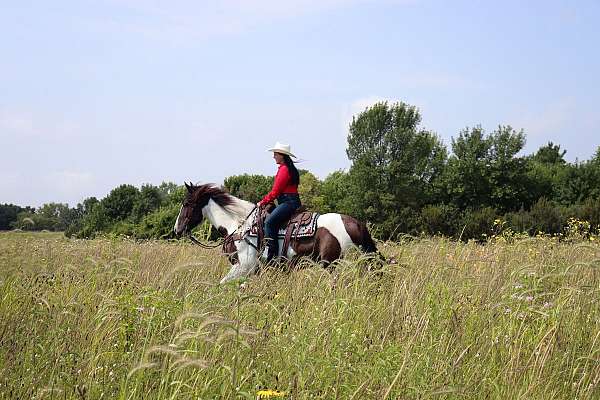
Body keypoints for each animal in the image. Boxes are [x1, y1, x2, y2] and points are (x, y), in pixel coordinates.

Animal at [173, 183, 380, 282]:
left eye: (186, 203)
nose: (177, 229)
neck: (239, 225)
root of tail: (355, 223)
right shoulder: (253, 270)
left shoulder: (244, 266)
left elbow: (222, 284)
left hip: (334, 264)